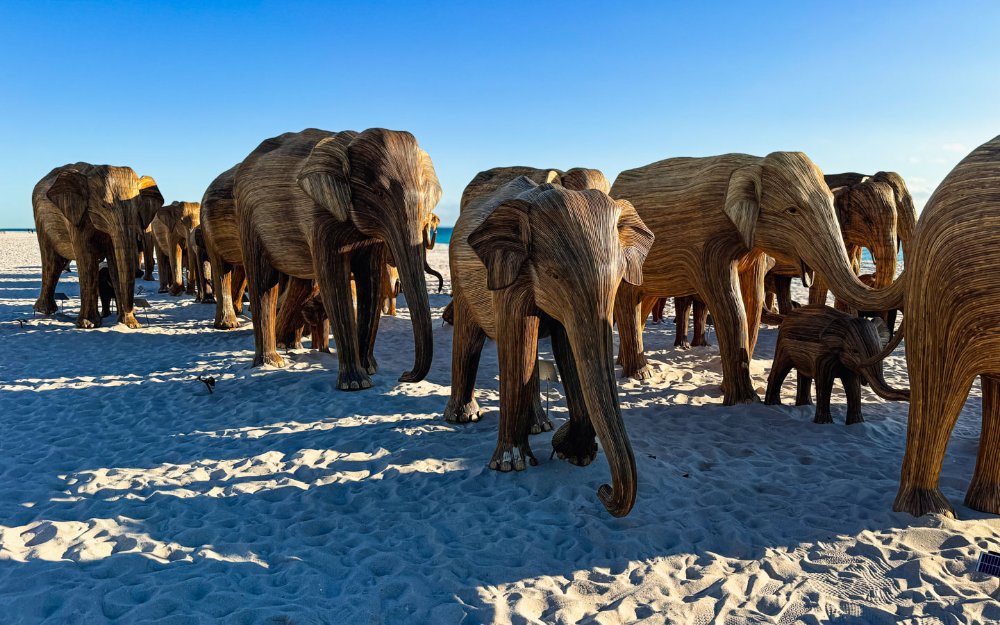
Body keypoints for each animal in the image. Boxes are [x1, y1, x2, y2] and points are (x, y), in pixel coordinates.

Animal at [33, 162, 163, 326]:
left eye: (138, 207)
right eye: (103, 206)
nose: (134, 323)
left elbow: (115, 263)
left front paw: (126, 323)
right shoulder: (78, 218)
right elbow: (88, 261)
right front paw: (88, 324)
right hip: (41, 221)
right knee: (52, 263)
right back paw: (45, 311)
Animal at [236, 127, 440, 388]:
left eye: (425, 197)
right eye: (378, 193)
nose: (404, 375)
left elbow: (371, 281)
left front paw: (369, 370)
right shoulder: (320, 216)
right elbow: (335, 280)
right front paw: (356, 384)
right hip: (248, 218)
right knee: (262, 281)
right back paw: (271, 363)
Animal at [448, 173, 652, 516]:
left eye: (619, 278)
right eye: (554, 274)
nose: (603, 490)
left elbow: (568, 348)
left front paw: (575, 454)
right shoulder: (511, 277)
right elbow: (520, 343)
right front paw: (511, 465)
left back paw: (539, 426)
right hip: (460, 278)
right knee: (469, 339)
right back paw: (462, 418)